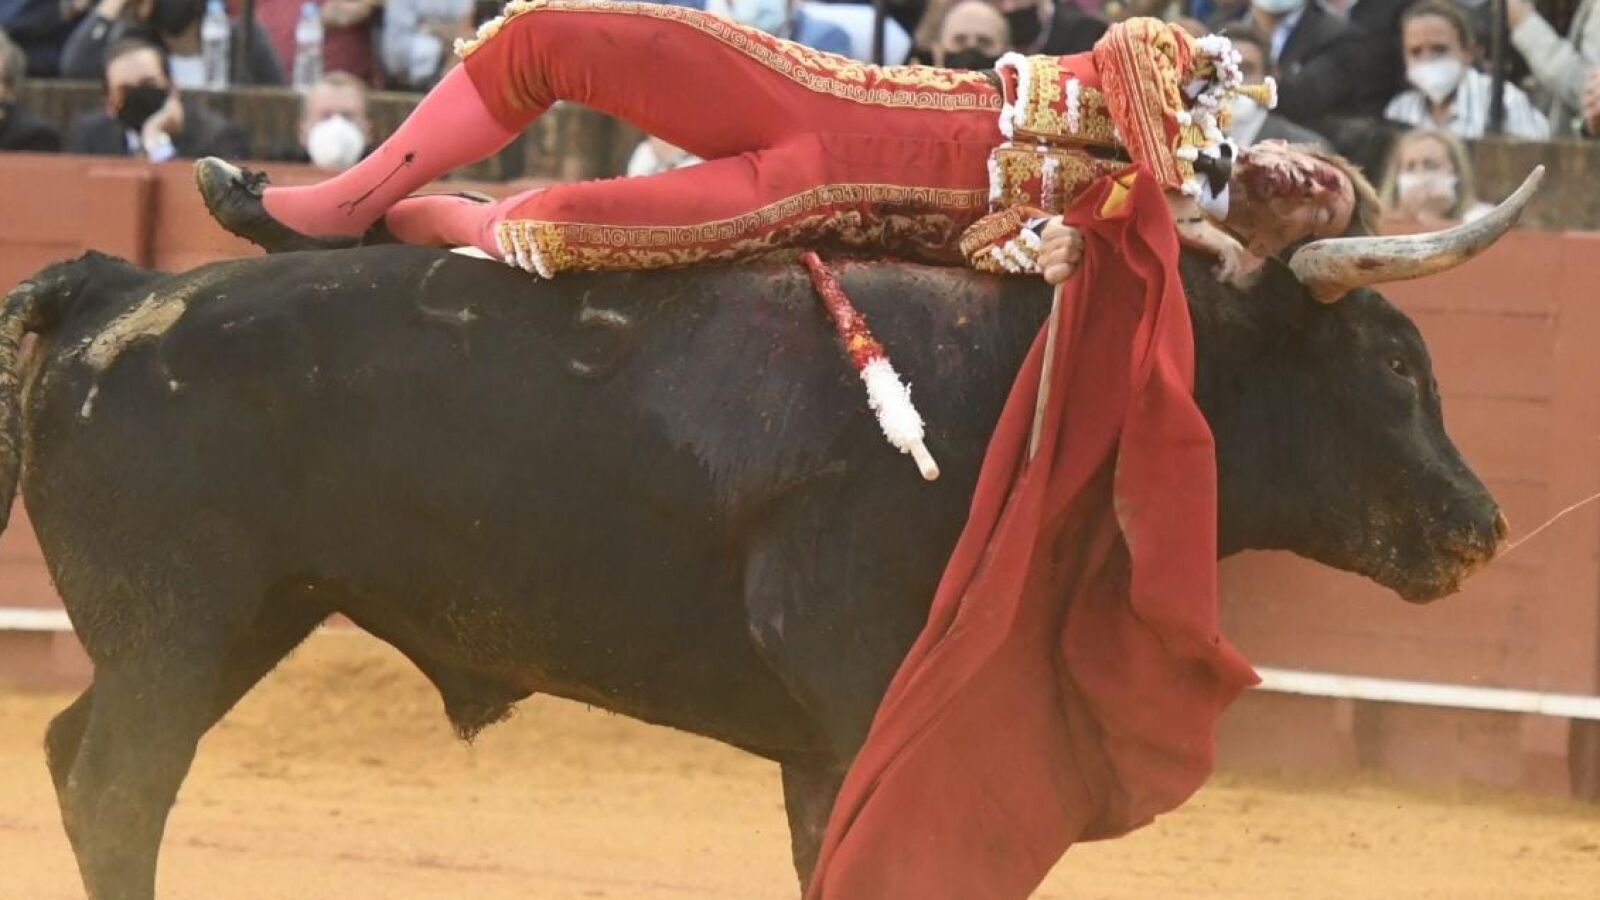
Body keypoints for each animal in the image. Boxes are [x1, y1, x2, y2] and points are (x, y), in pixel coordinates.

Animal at [0, 175, 1535, 900]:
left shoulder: (830, 740)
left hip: (242, 617)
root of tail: (115, 287)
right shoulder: (866, 691)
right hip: (178, 620)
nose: (1483, 525)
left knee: (84, 763)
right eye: (1394, 363)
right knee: (121, 784)